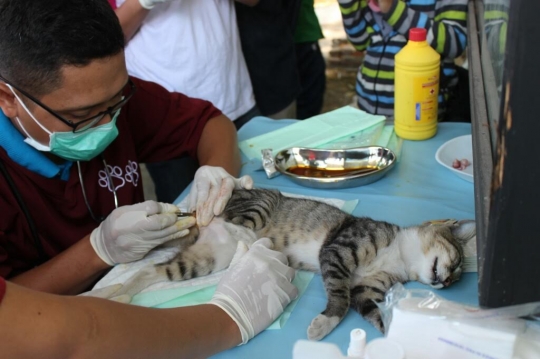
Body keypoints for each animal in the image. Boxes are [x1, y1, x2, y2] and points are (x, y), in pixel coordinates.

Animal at [112, 188, 474, 340]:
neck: (398, 254)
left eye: (455, 279)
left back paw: (115, 294)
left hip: (207, 259)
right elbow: (340, 298)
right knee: (237, 220)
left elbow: (373, 311)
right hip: (258, 204)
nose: (446, 282)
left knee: (153, 270)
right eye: (456, 262)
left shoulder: (366, 288)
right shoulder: (338, 250)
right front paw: (323, 324)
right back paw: (248, 235)